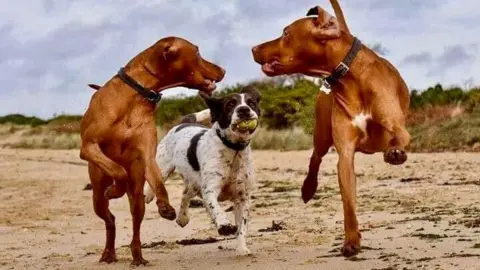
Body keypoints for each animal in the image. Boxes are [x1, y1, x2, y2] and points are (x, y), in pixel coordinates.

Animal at [80, 36, 225, 266]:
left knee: (134, 223)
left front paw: (165, 207)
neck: (135, 96)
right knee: (110, 218)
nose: (223, 70)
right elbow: (118, 170)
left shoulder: (147, 156)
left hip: (137, 194)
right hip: (97, 195)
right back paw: (108, 252)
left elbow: (158, 184)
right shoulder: (88, 147)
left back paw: (137, 256)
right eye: (197, 52)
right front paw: (114, 190)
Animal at [144, 86, 260, 255]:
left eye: (251, 103)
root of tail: (184, 123)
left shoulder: (242, 197)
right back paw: (149, 195)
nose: (243, 109)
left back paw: (183, 217)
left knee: (185, 195)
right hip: (164, 167)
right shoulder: (210, 190)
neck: (234, 150)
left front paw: (242, 248)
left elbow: (242, 228)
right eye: (230, 104)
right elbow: (217, 209)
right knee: (156, 181)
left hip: (194, 184)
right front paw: (224, 225)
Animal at [251, 0, 408, 258]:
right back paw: (308, 188)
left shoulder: (397, 126)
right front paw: (351, 241)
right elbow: (349, 204)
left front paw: (395, 152)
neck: (350, 78)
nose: (253, 48)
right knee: (315, 157)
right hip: (322, 134)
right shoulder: (345, 155)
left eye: (286, 33)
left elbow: (399, 137)